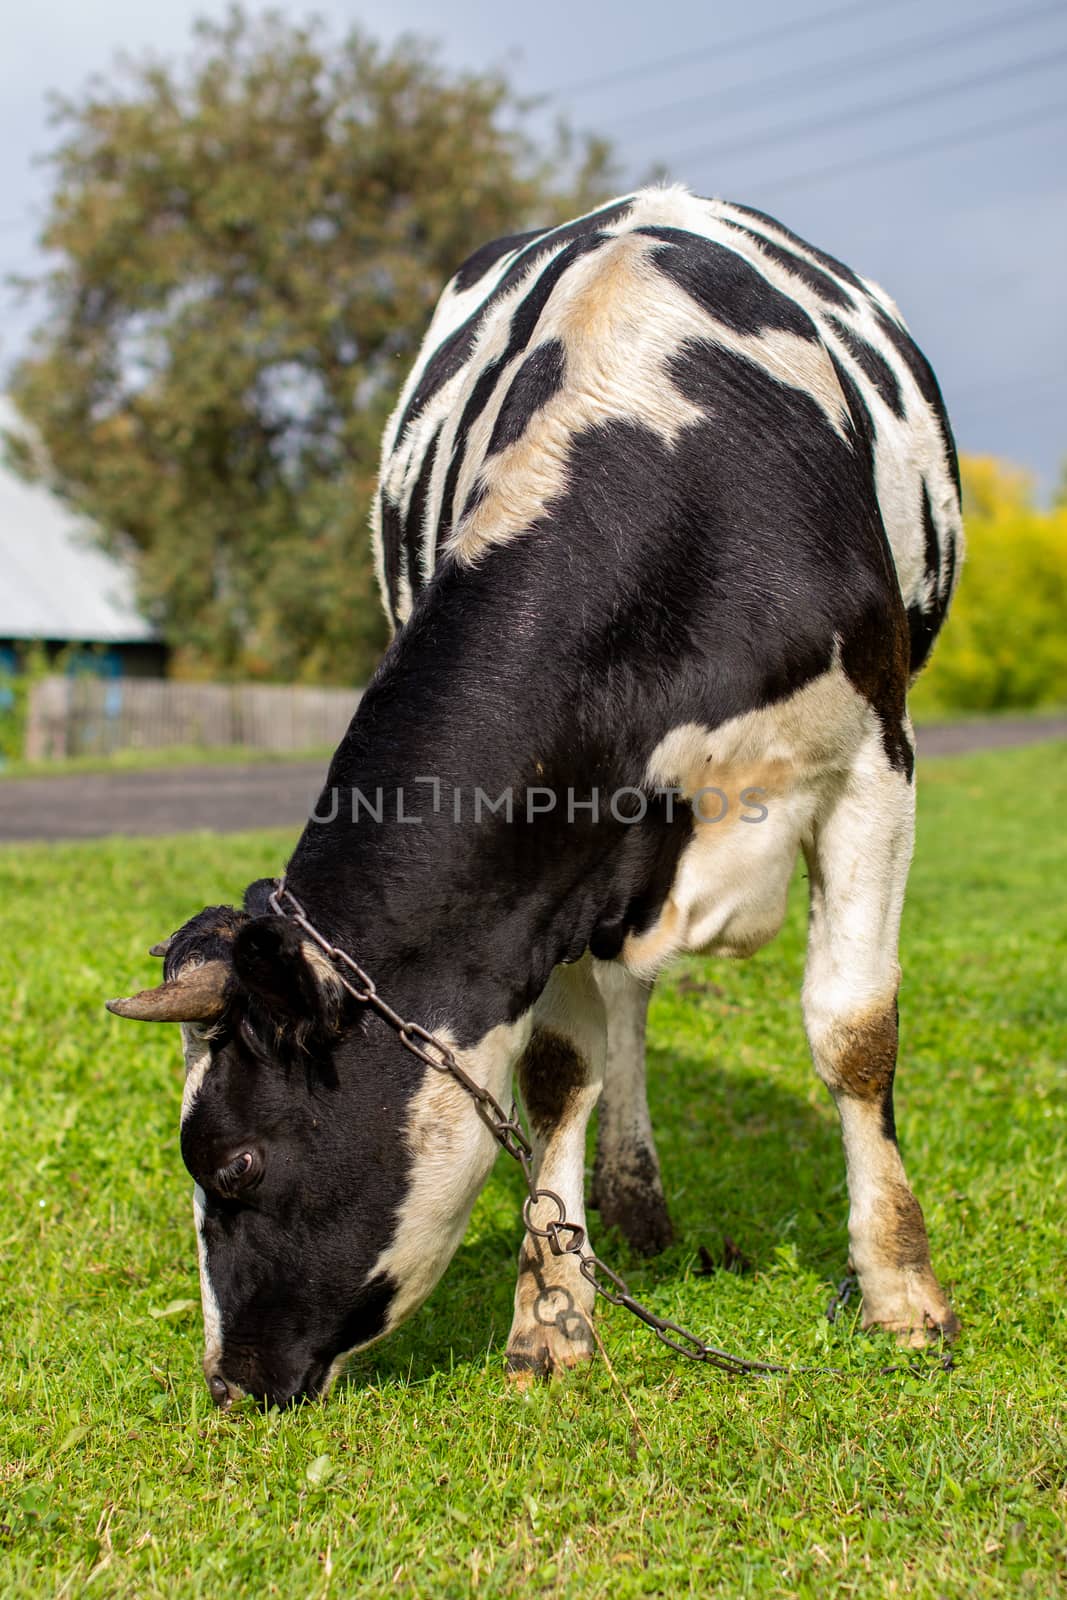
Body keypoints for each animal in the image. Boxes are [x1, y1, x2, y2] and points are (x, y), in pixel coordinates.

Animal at [106, 187, 959, 1408]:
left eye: (232, 1161)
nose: (229, 1383)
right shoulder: (546, 866)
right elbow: (558, 1073)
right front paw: (553, 1313)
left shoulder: (875, 766)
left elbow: (853, 1032)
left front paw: (900, 1295)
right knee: (625, 1009)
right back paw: (632, 1198)